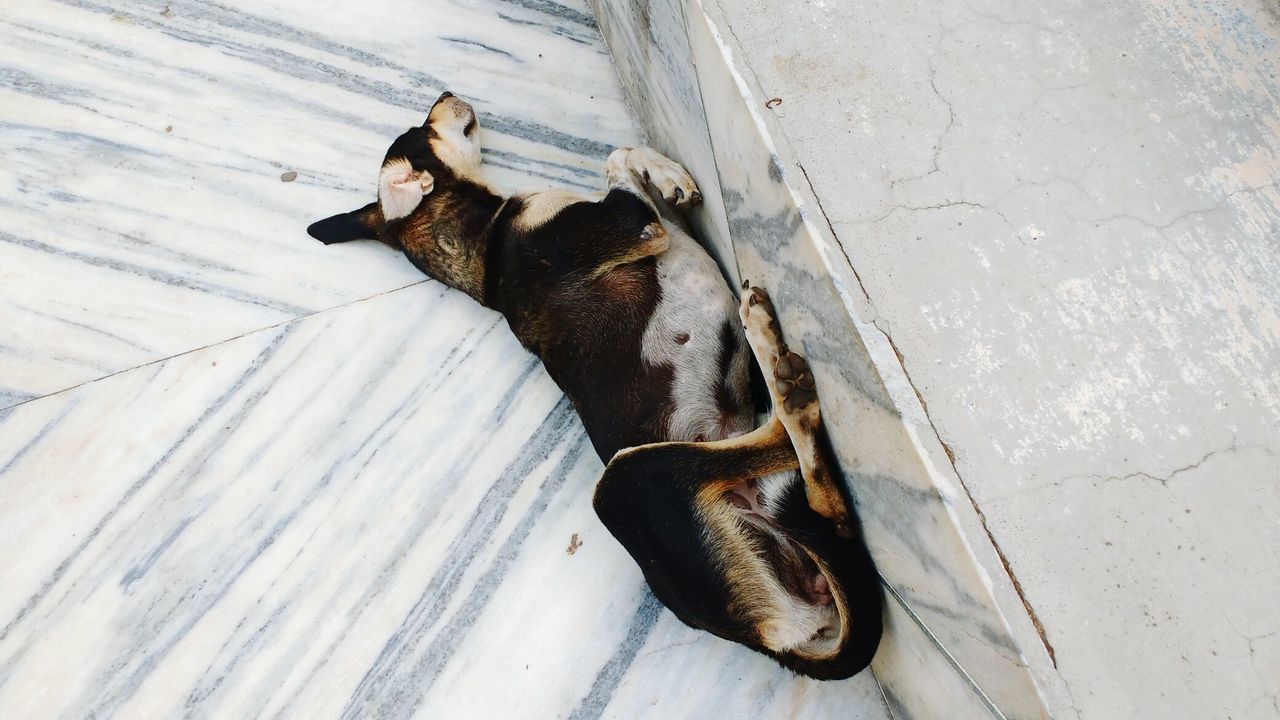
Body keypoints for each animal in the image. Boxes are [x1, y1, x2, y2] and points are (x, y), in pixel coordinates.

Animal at [307, 92, 880, 676]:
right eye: (421, 128)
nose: (443, 94)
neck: (487, 240)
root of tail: (770, 640)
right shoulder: (634, 226)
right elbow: (617, 156)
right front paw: (668, 173)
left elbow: (627, 163)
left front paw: (668, 177)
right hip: (626, 476)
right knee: (809, 475)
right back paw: (777, 365)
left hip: (763, 500)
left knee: (825, 510)